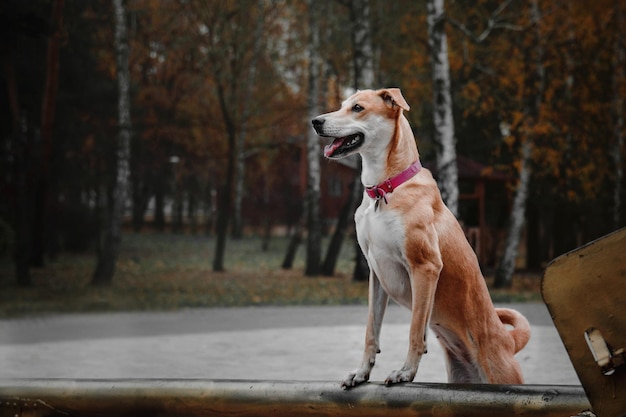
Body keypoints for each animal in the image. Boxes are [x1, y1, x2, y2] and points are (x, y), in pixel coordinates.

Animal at [310, 87, 528, 386]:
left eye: (357, 108)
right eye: (343, 105)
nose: (316, 122)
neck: (384, 189)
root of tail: (508, 341)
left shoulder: (424, 266)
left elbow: (415, 330)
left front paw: (406, 372)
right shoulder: (376, 275)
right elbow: (371, 331)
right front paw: (362, 372)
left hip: (500, 376)